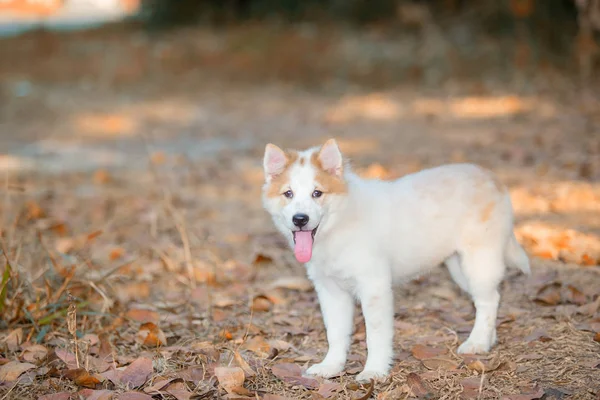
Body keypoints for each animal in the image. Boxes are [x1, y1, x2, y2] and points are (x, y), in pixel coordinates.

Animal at [262, 139, 528, 382]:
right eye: (288, 194)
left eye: (317, 193)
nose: (300, 219)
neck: (339, 225)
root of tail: (491, 177)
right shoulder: (331, 291)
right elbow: (335, 334)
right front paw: (330, 367)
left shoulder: (374, 288)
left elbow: (375, 335)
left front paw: (374, 371)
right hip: (459, 269)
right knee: (489, 299)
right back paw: (488, 338)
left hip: (479, 262)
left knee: (488, 301)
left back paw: (477, 343)